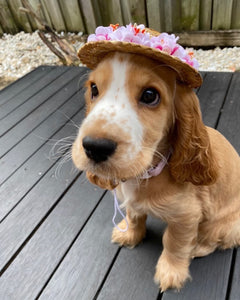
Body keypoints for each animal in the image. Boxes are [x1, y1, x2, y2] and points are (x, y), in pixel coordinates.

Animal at [71, 24, 240, 290]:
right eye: (94, 89)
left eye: (150, 95)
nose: (94, 147)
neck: (147, 172)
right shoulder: (133, 204)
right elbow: (134, 215)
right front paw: (130, 234)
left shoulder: (186, 217)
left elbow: (175, 243)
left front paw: (171, 272)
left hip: (225, 224)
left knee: (215, 240)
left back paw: (198, 248)